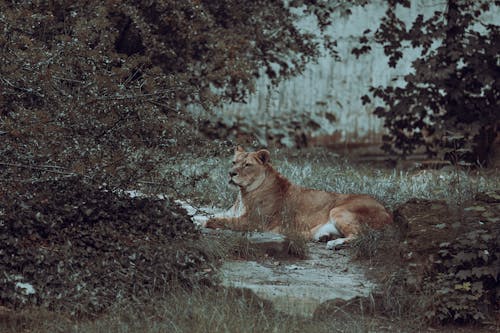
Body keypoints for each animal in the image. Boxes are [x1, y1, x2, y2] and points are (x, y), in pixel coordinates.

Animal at [205, 147, 392, 248]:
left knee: (361, 236)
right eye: (233, 162)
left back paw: (334, 243)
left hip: (338, 210)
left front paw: (202, 223)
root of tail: (389, 214)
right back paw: (325, 237)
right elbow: (213, 214)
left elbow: (218, 220)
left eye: (247, 165)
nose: (231, 173)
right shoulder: (234, 214)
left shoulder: (253, 222)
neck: (243, 193)